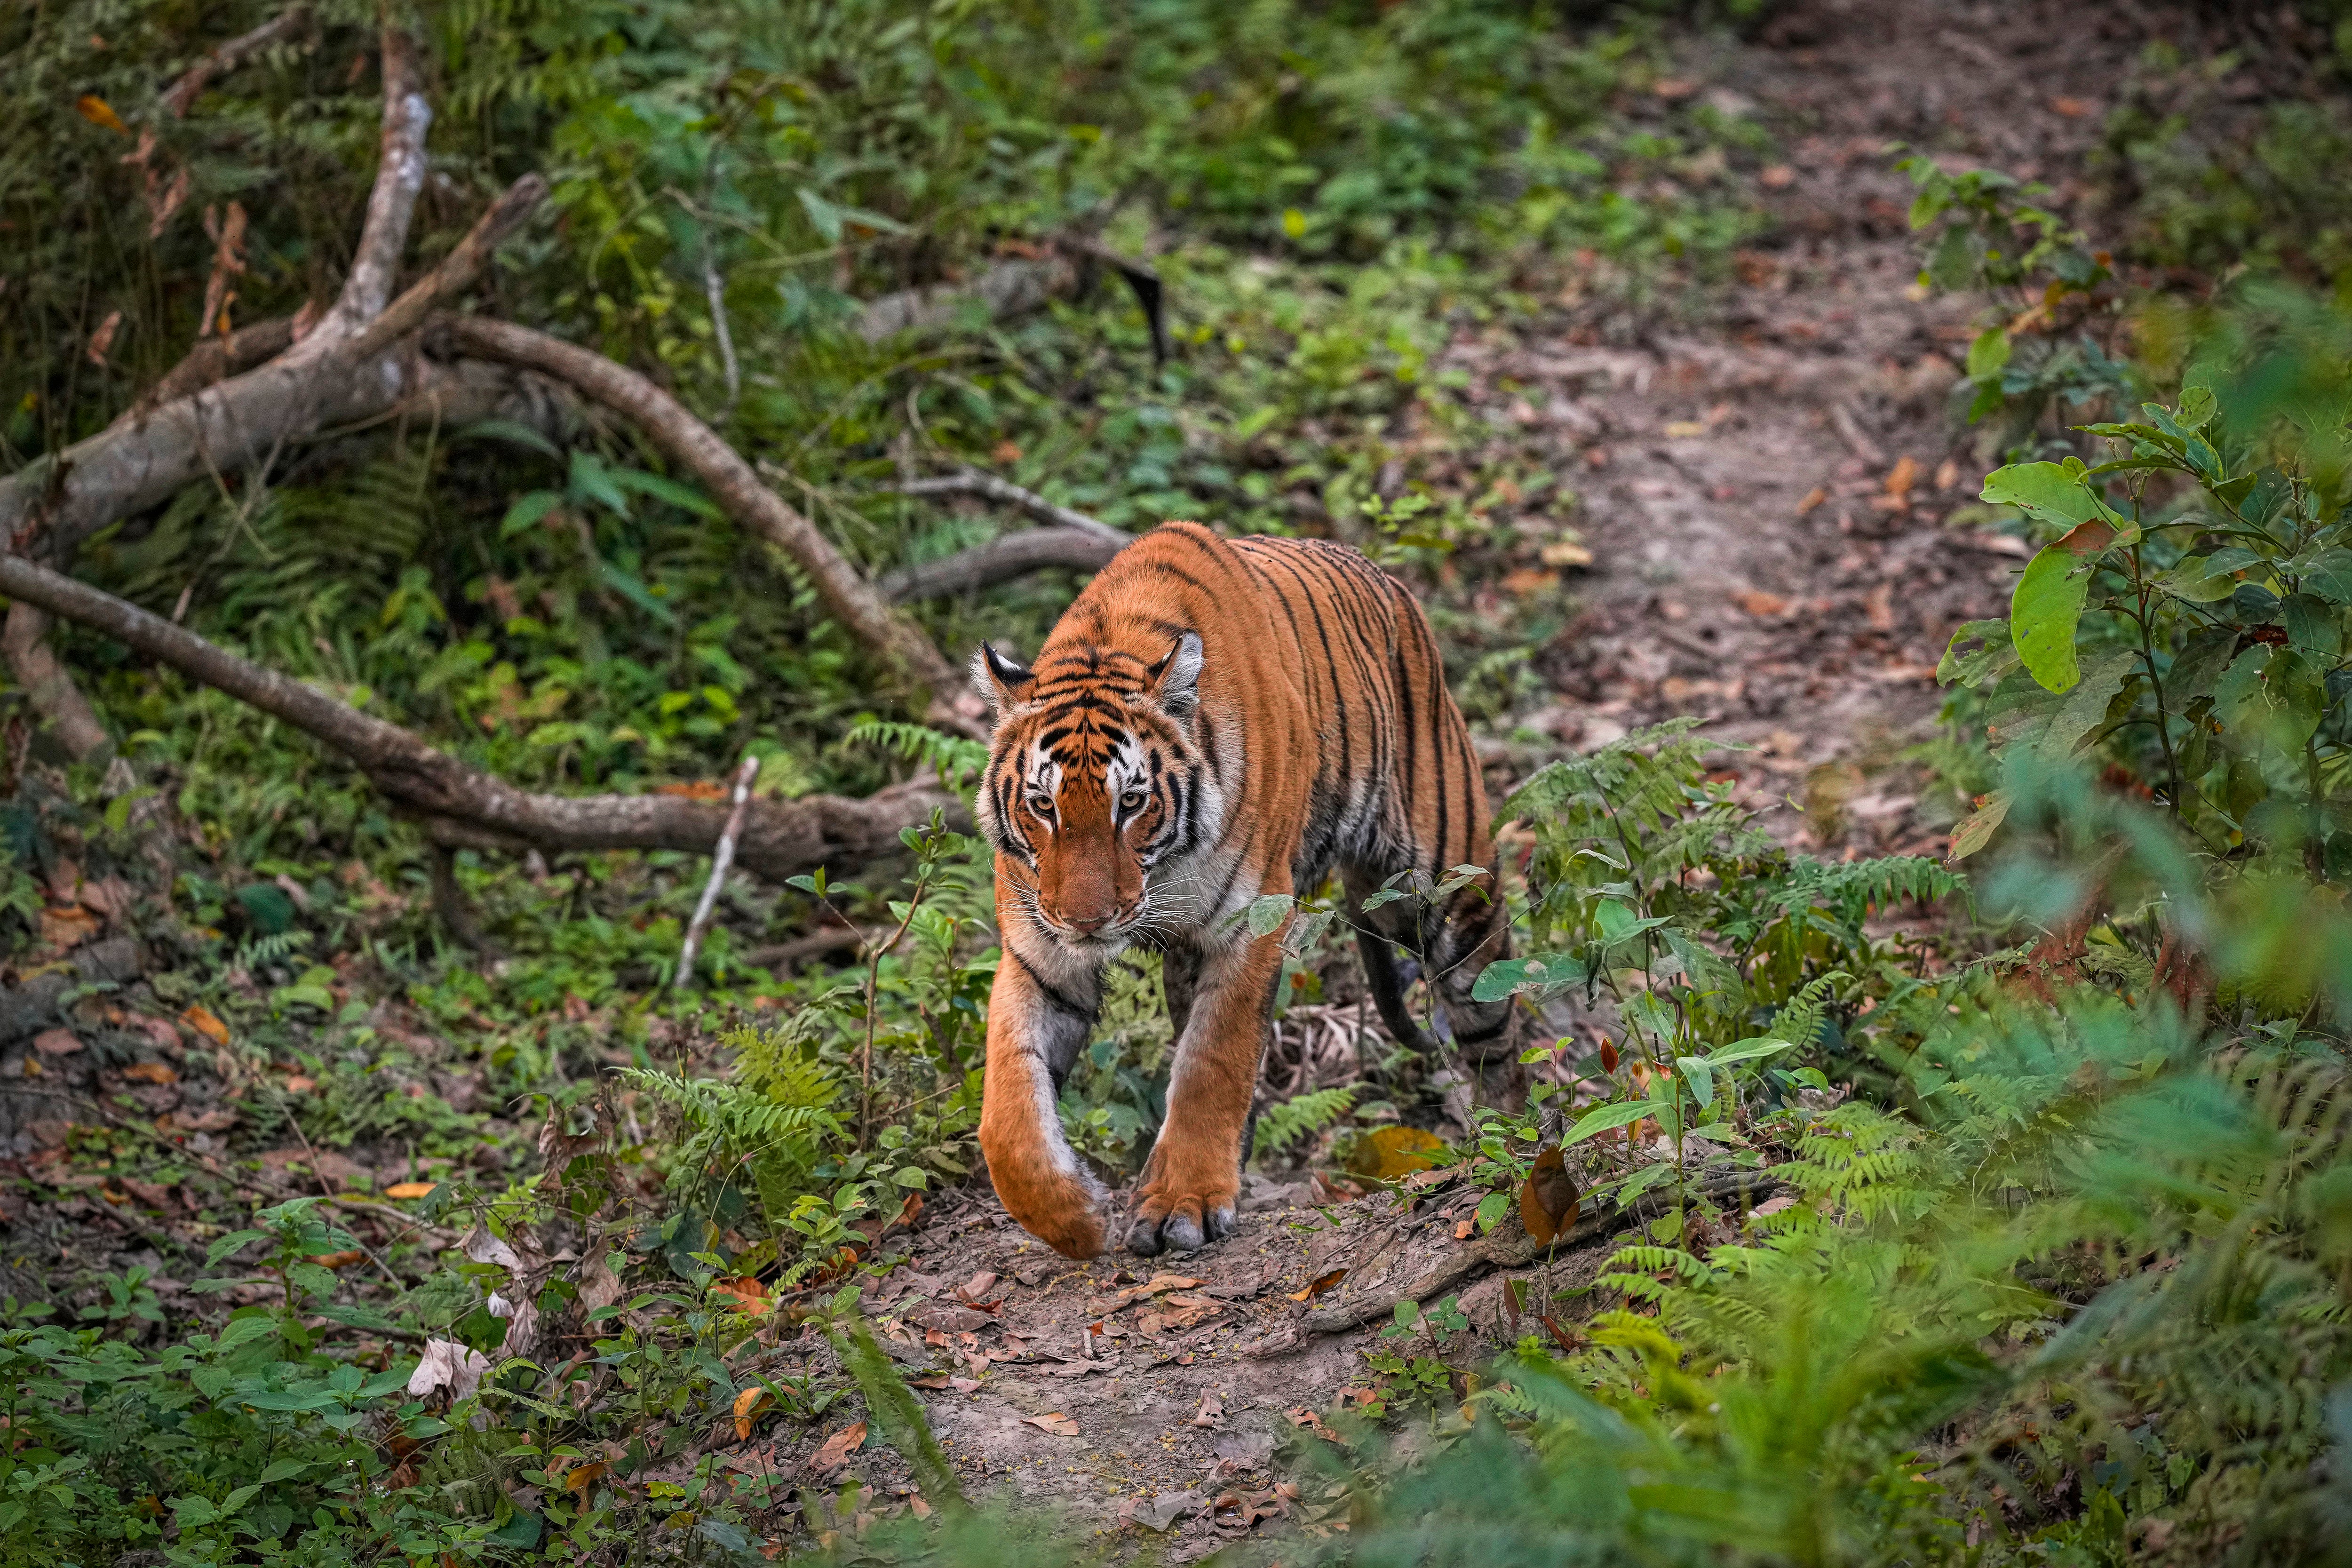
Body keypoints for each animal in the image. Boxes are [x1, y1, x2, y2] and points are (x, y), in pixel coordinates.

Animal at [970, 521, 1515, 1258]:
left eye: (1131, 802)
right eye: (1043, 806)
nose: (1087, 921)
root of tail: (1389, 582)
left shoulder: (1249, 924)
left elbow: (1213, 1063)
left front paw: (1184, 1203)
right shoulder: (1039, 954)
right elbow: (1007, 1112)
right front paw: (1076, 1221)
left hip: (1444, 888)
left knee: (1496, 1029)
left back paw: (1517, 1144)